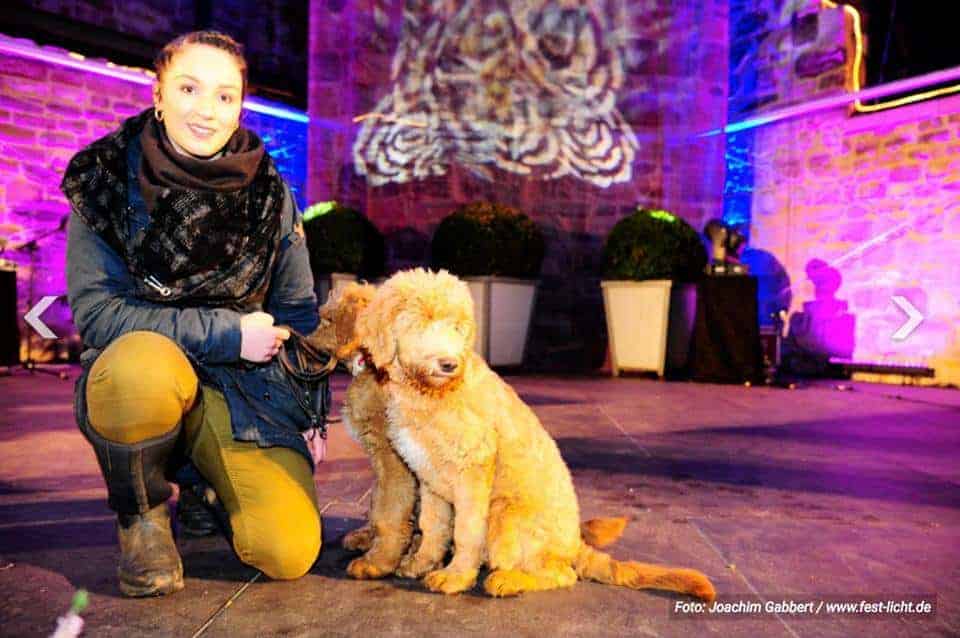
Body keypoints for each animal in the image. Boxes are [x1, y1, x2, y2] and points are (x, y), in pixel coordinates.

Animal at [308, 284, 416, 580]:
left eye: (327, 320)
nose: (303, 344)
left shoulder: (393, 459)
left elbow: (389, 510)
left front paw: (378, 562)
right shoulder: (379, 457)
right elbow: (377, 502)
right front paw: (371, 542)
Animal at [356, 270, 716, 600]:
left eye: (457, 327)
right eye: (418, 323)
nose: (449, 364)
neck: (430, 393)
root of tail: (575, 545)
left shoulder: (472, 471)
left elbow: (465, 531)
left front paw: (456, 577)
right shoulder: (430, 478)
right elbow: (432, 526)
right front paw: (420, 563)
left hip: (504, 513)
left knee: (561, 574)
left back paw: (508, 580)